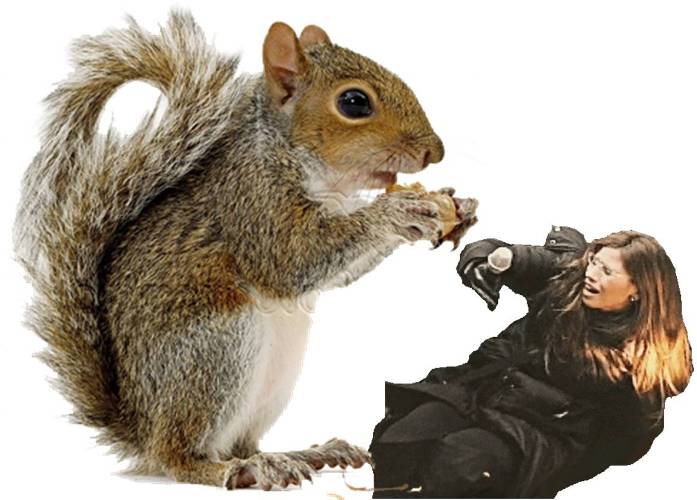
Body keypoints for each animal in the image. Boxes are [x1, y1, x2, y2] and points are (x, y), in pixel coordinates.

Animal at [14, 11, 475, 490]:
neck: (294, 157)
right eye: (354, 102)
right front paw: (396, 211)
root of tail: (139, 426)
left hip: (273, 379)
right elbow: (295, 260)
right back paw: (234, 468)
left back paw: (301, 455)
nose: (434, 151)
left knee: (242, 442)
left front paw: (456, 206)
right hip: (215, 352)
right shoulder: (253, 204)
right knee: (178, 456)